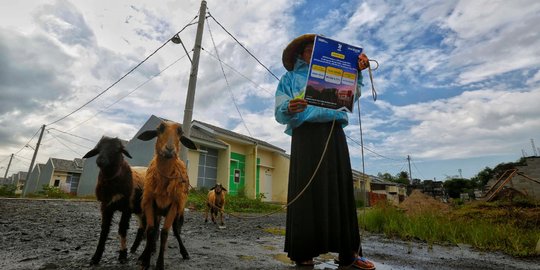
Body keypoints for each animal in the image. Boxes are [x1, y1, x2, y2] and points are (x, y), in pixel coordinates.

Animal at [83, 136, 147, 264]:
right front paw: (96, 257)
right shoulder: (105, 206)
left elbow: (122, 229)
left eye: (118, 149)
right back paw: (134, 248)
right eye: (98, 149)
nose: (100, 160)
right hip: (139, 210)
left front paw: (122, 254)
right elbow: (104, 230)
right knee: (142, 228)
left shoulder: (127, 207)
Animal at [136, 121, 197, 270]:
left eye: (180, 132)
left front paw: (159, 264)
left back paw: (184, 252)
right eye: (160, 129)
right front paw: (145, 260)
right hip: (157, 211)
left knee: (175, 230)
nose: (170, 149)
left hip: (179, 210)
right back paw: (149, 250)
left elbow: (164, 232)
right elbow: (151, 230)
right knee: (154, 229)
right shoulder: (149, 202)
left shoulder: (174, 205)